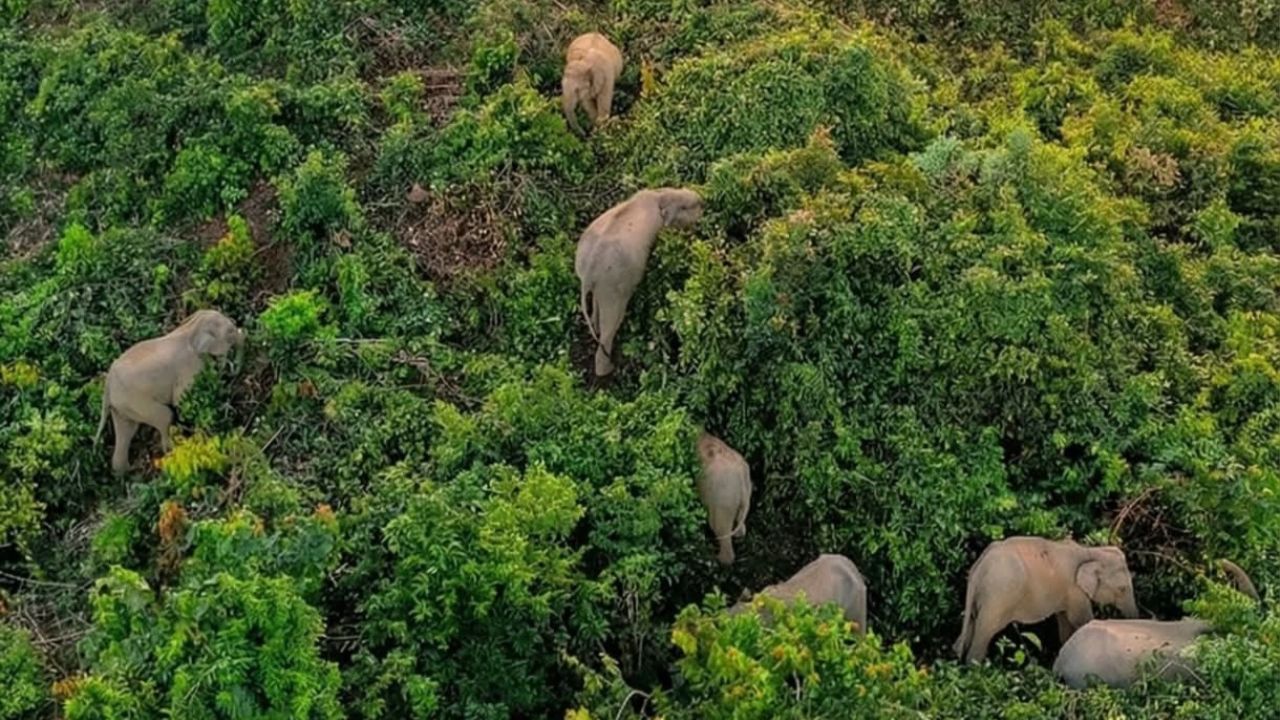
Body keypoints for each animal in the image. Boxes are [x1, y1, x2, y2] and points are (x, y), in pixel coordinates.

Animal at [95, 309, 245, 473]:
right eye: (230, 332)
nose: (232, 372)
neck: (191, 327)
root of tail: (108, 385)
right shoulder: (189, 366)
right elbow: (180, 399)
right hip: (135, 400)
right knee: (164, 416)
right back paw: (172, 450)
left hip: (121, 406)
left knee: (127, 430)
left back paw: (128, 470)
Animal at [576, 188, 703, 376]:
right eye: (685, 207)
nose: (703, 202)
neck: (658, 195)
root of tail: (587, 275)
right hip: (613, 287)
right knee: (611, 324)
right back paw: (609, 370)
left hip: (603, 286)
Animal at [696, 432, 751, 565]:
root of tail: (742, 477)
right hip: (743, 495)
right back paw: (739, 536)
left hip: (723, 499)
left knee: (719, 527)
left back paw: (719, 560)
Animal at [953, 536, 1139, 663]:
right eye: (1122, 589)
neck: (1091, 552)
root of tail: (979, 567)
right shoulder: (1075, 591)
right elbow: (1081, 620)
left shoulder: (1066, 593)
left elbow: (1065, 623)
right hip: (998, 596)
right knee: (986, 630)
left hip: (983, 595)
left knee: (971, 625)